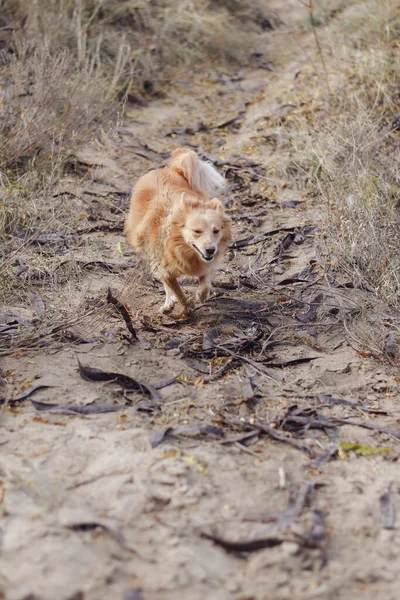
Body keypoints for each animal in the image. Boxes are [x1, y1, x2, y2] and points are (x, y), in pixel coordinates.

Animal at [124, 148, 231, 314]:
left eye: (216, 231)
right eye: (197, 231)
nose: (211, 250)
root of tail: (167, 169)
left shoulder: (206, 263)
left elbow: (205, 279)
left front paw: (201, 295)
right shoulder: (164, 268)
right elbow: (176, 289)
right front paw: (187, 304)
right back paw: (169, 303)